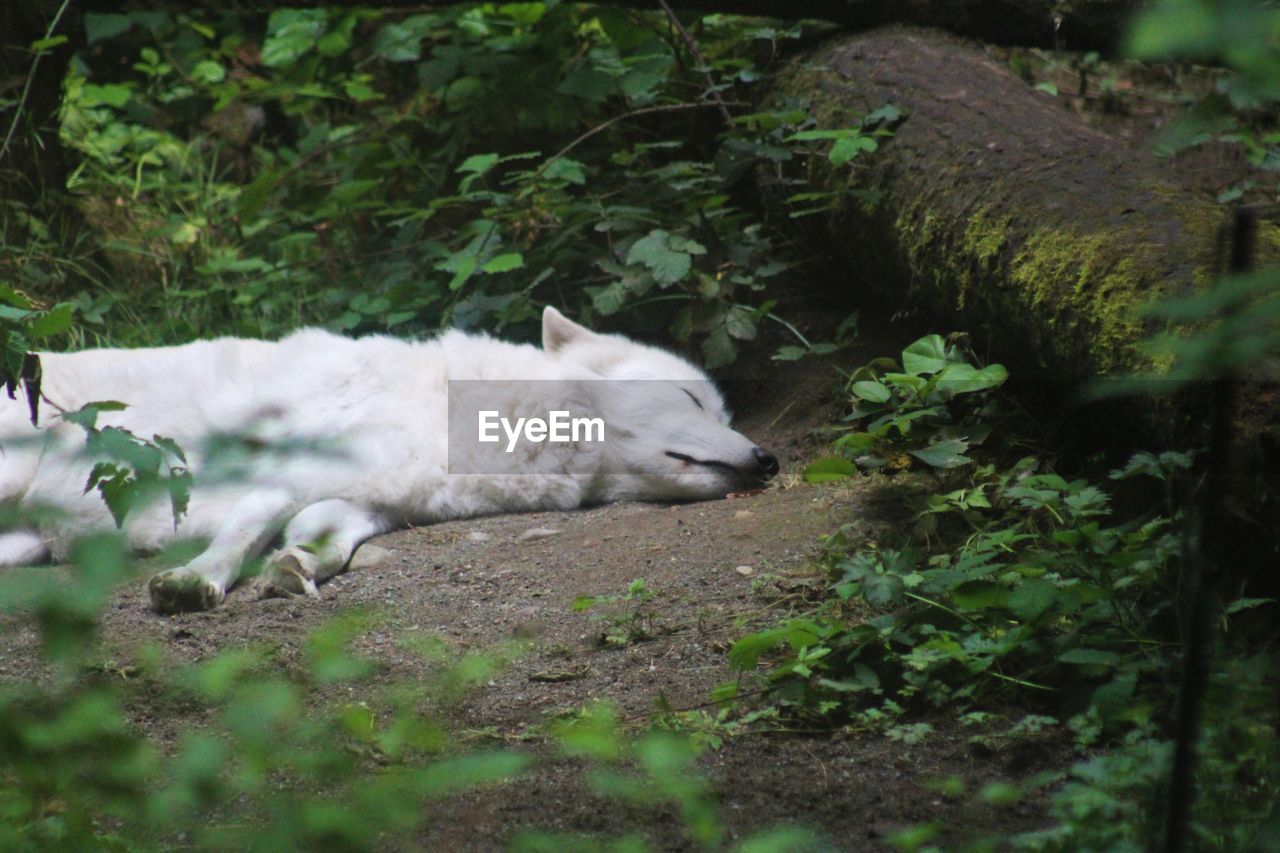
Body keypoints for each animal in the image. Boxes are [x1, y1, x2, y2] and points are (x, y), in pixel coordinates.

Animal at [0, 308, 778, 614]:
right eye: (693, 399)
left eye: (725, 413)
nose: (769, 459)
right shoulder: (283, 470)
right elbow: (236, 538)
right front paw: (195, 582)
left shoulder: (361, 501)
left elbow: (326, 542)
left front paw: (295, 569)